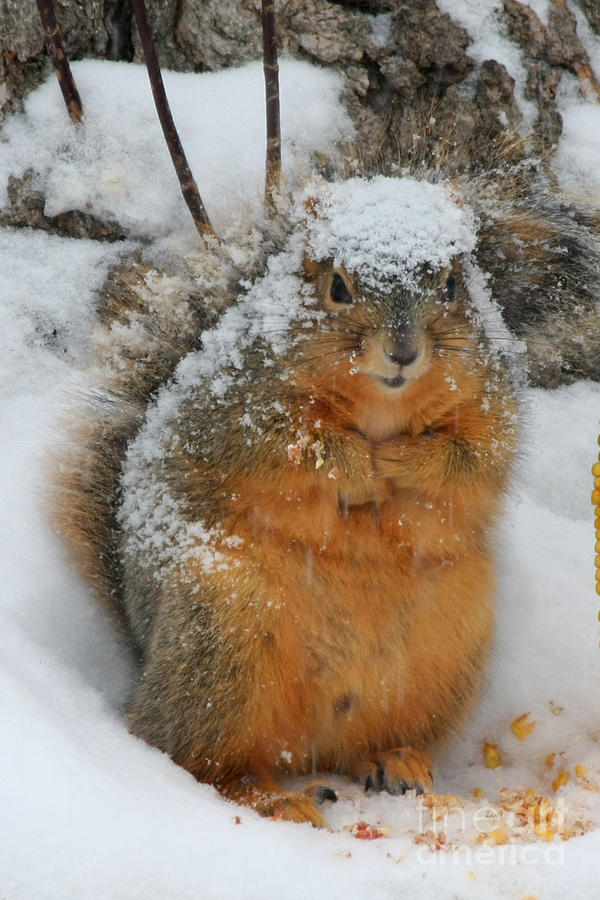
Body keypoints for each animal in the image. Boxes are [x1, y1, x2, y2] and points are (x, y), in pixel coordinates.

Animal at [52, 146, 600, 824]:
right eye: (336, 287)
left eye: (452, 285)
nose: (402, 352)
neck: (383, 408)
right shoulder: (236, 409)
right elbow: (288, 452)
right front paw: (361, 465)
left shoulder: (491, 405)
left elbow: (474, 461)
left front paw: (405, 463)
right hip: (222, 641)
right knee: (189, 753)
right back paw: (269, 796)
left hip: (448, 650)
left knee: (352, 743)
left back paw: (395, 761)